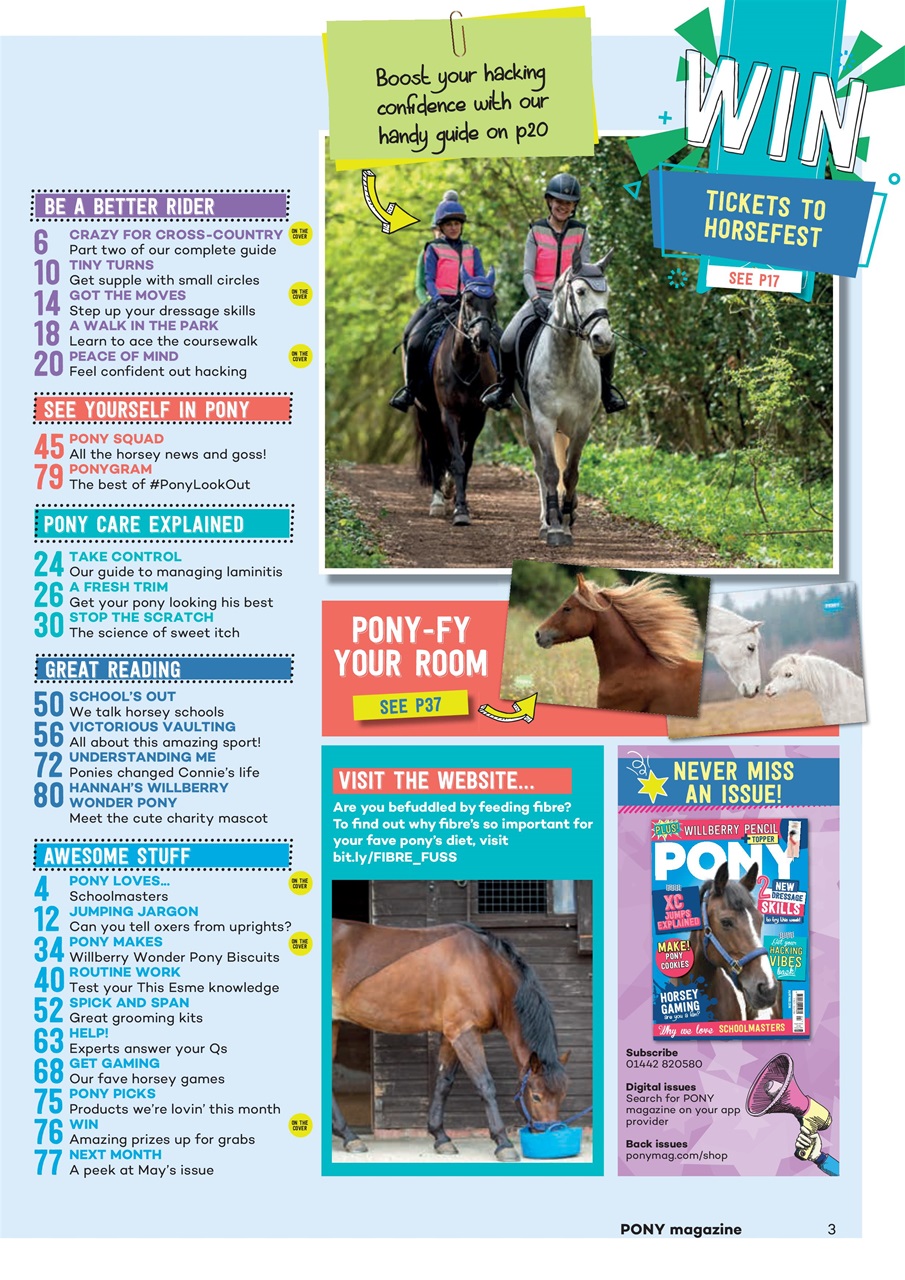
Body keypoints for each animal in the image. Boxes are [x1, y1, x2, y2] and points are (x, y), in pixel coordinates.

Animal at [331, 919, 570, 1161]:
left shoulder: (451, 1036)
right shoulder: (465, 1033)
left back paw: (348, 1136)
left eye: (562, 1095)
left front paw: (441, 1137)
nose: (550, 1132)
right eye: (536, 1096)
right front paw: (503, 1143)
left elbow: (443, 1083)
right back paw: (349, 1137)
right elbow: (485, 1084)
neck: (484, 967)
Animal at [413, 269, 498, 527]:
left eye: (494, 301)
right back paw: (437, 502)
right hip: (425, 415)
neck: (464, 364)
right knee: (434, 454)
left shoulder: (477, 416)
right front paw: (459, 511)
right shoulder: (448, 413)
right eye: (468, 300)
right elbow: (457, 461)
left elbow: (465, 460)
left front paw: (462, 504)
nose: (482, 339)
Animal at [516, 247, 615, 548]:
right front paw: (555, 527)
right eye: (581, 291)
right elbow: (551, 470)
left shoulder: (582, 424)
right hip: (528, 423)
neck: (566, 361)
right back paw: (545, 521)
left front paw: (568, 518)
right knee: (539, 467)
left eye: (607, 293)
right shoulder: (544, 421)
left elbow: (571, 472)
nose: (603, 339)